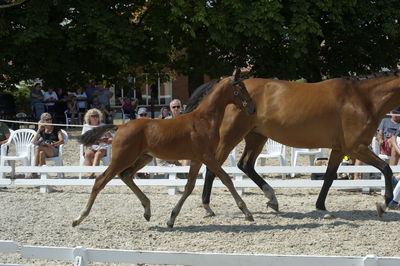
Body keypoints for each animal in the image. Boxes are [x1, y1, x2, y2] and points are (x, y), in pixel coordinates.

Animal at [72, 69, 256, 228]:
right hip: (122, 158)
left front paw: (171, 219)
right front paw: (247, 212)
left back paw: (147, 210)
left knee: (126, 176)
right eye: (240, 87)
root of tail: (120, 127)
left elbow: (189, 186)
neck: (204, 119)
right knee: (100, 180)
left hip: (143, 157)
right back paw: (79, 218)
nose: (252, 108)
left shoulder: (197, 159)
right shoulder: (207, 156)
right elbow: (226, 178)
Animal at [198, 69, 400, 216]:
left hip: (256, 137)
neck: (362, 98)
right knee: (213, 168)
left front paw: (321, 206)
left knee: (245, 165)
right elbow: (386, 168)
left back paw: (272, 199)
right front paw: (385, 204)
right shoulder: (356, 147)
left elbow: (329, 177)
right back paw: (208, 207)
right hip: (230, 137)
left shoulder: (339, 149)